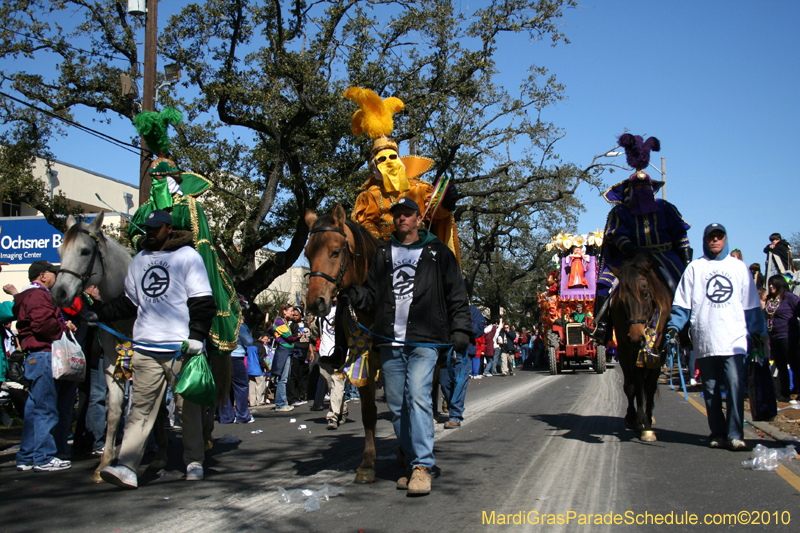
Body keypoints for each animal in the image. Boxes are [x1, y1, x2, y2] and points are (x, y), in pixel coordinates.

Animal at [51, 212, 169, 482]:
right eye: (60, 251)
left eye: (85, 251)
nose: (59, 293)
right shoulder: (109, 360)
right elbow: (115, 410)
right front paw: (105, 463)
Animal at [306, 204, 382, 482]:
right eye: (307, 254)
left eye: (336, 251)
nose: (314, 302)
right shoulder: (364, 361)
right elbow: (369, 412)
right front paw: (368, 463)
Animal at [608, 252, 672, 440]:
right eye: (621, 299)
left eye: (645, 294)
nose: (637, 338)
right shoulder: (624, 349)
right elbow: (631, 386)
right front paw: (632, 418)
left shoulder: (658, 353)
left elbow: (649, 387)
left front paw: (647, 426)